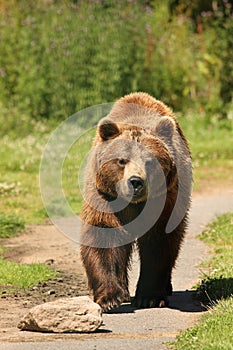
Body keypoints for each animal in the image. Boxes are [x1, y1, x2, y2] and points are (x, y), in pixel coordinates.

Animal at [79, 91, 191, 310]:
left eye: (149, 160)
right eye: (122, 160)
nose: (136, 182)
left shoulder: (164, 200)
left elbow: (159, 241)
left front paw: (150, 297)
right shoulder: (104, 197)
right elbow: (103, 233)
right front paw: (110, 298)